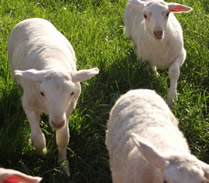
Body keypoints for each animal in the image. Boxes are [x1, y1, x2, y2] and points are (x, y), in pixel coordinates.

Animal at [7, 17, 99, 174]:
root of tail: (32, 18)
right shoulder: (28, 104)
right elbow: (38, 138)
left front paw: (63, 166)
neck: (53, 64)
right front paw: (41, 153)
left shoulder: (68, 108)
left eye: (72, 93)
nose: (57, 123)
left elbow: (63, 138)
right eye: (42, 93)